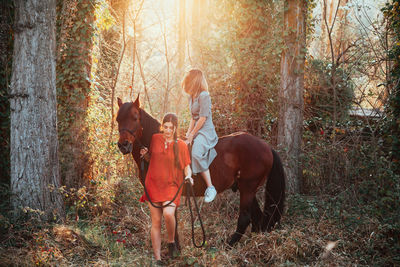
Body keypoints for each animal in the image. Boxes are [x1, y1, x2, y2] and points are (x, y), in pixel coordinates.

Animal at [115, 96, 284, 247]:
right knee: (256, 217)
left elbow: (172, 220)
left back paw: (228, 245)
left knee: (245, 217)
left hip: (248, 188)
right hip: (247, 189)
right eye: (117, 119)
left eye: (135, 117)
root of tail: (266, 146)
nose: (123, 145)